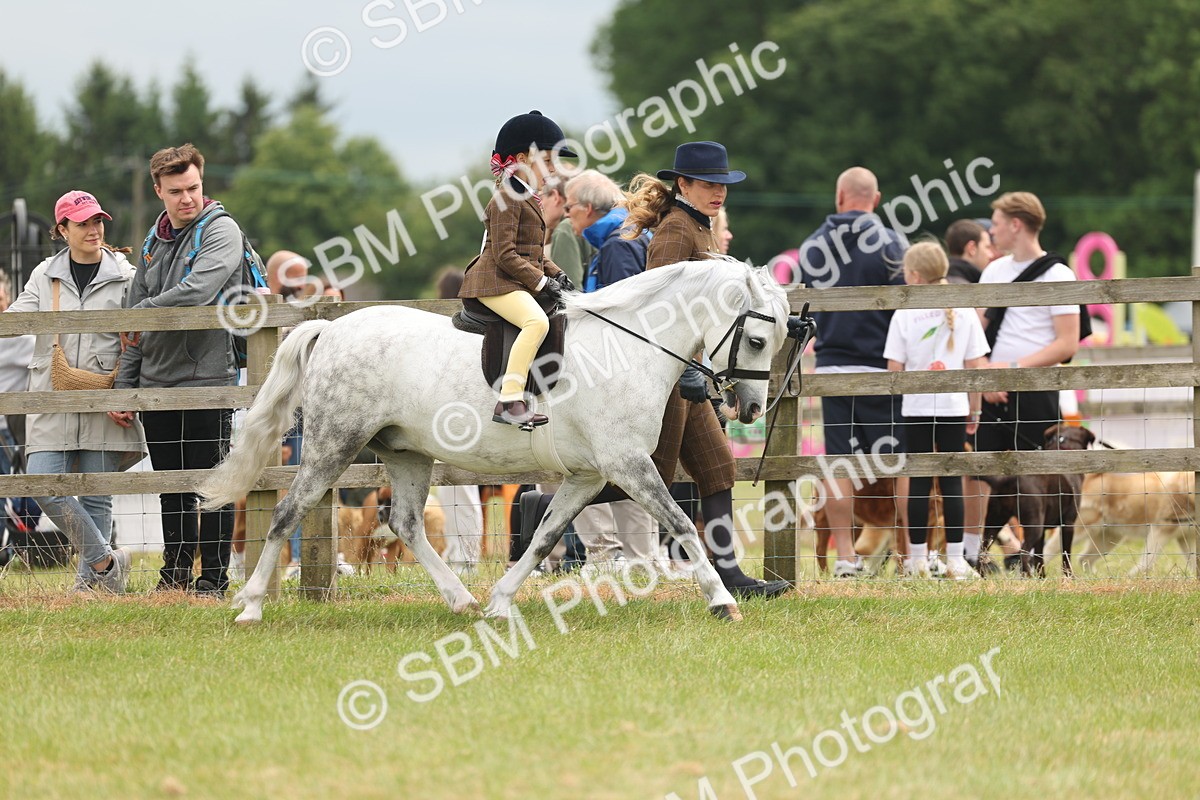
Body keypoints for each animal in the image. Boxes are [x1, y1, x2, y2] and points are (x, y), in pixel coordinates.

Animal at [198, 259, 792, 624]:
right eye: (756, 339)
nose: (749, 409)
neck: (631, 345)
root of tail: (332, 329)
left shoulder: (589, 476)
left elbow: (545, 537)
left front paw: (501, 601)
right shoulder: (628, 465)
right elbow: (683, 523)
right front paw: (722, 601)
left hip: (407, 454)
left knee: (406, 524)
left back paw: (460, 599)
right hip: (333, 444)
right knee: (287, 513)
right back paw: (250, 606)